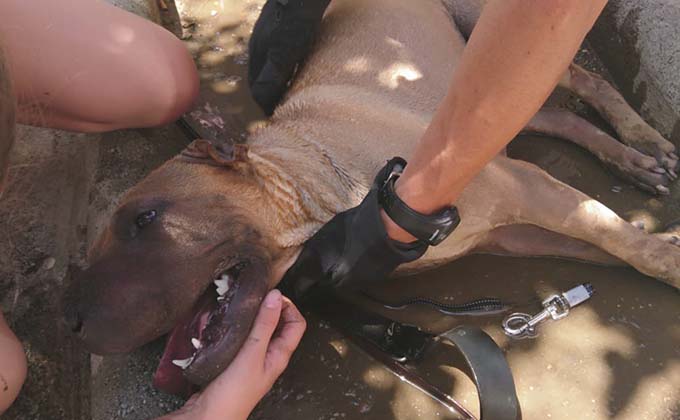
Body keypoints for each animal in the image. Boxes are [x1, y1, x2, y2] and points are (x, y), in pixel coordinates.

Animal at [61, 0, 676, 398]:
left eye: (146, 218)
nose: (72, 323)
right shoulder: (516, 230)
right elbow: (610, 241)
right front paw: (665, 240)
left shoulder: (526, 187)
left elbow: (620, 239)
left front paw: (664, 254)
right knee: (563, 117)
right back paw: (630, 158)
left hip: (498, 38)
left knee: (586, 81)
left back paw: (642, 139)